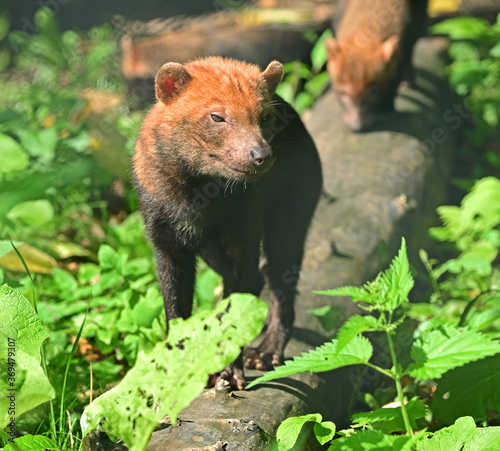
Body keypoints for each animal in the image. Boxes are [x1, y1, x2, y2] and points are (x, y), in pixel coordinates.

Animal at [131, 56, 322, 388]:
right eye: (217, 116)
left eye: (266, 115)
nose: (261, 155)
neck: (196, 204)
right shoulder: (166, 243)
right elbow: (175, 312)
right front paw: (174, 371)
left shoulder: (242, 239)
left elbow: (237, 314)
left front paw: (229, 372)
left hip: (288, 223)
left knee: (280, 291)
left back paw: (265, 352)